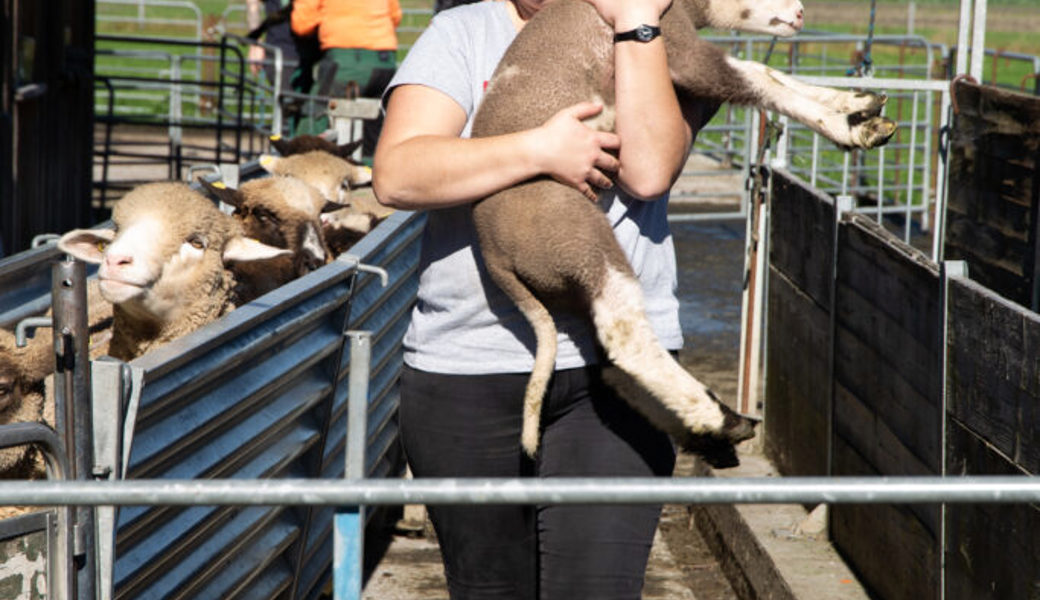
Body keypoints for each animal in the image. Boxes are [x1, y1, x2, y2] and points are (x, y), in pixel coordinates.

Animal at [470, 0, 894, 461]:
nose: (799, 14)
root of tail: (494, 253)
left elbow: (768, 73)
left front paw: (861, 104)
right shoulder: (671, 42)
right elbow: (753, 76)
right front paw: (847, 126)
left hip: (568, 271)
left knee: (608, 361)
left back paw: (710, 427)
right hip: (572, 233)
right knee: (624, 334)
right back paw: (719, 419)